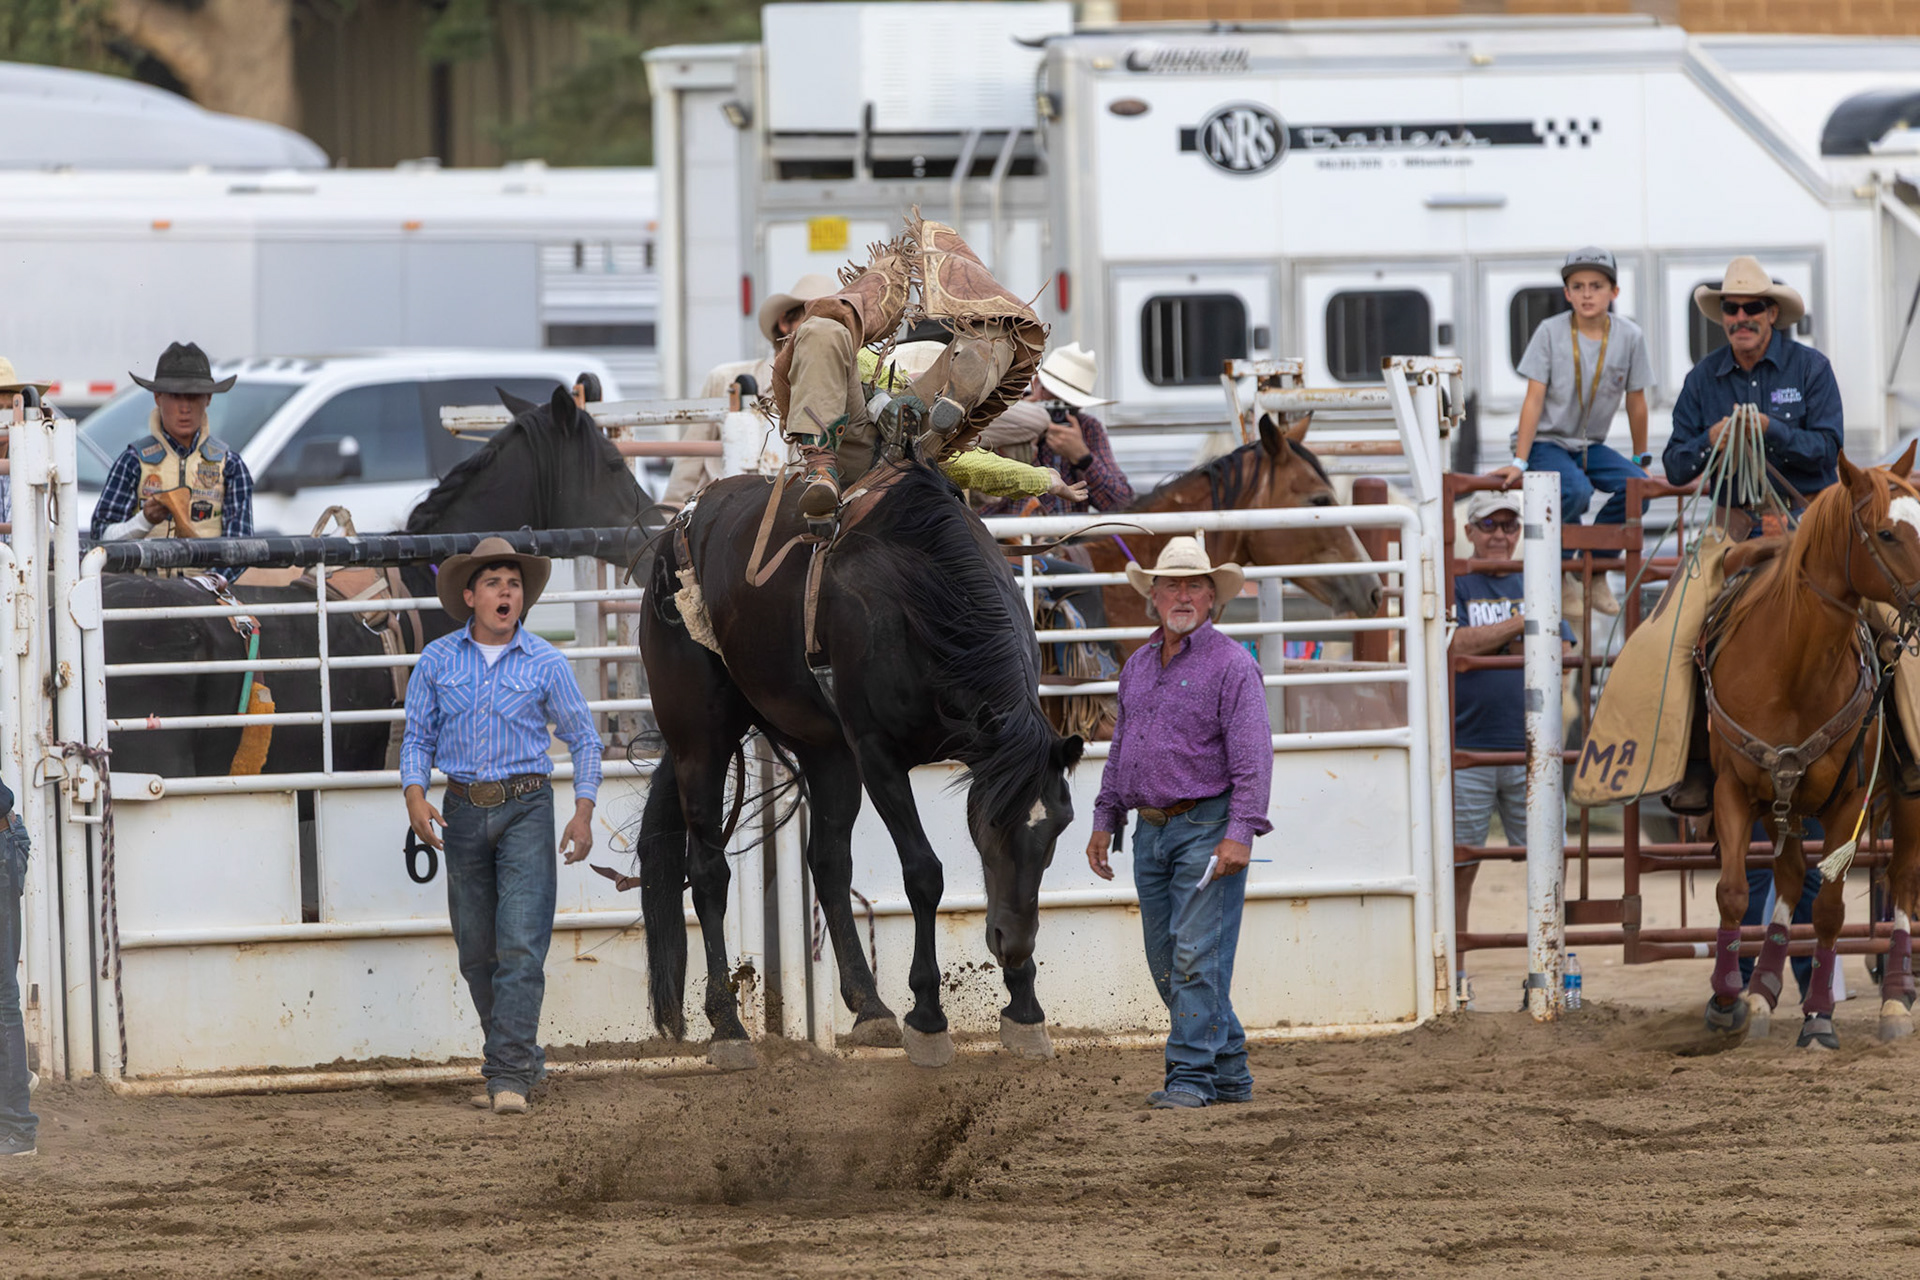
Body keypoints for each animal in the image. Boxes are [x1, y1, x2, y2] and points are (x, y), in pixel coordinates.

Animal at [637, 461, 1083, 1068]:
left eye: (1060, 826)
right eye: (991, 824)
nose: (1012, 947)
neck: (921, 598)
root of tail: (679, 527)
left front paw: (1025, 1010)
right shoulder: (878, 756)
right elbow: (923, 874)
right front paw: (928, 1018)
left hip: (826, 751)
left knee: (828, 863)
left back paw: (870, 1008)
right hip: (699, 740)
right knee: (708, 873)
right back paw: (729, 1029)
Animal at [1698, 446, 1920, 1048]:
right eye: (1887, 533)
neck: (1791, 666)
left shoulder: (1846, 803)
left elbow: (1828, 911)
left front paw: (1819, 1016)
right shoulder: (1736, 789)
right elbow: (1734, 891)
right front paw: (1727, 1001)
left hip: (1908, 793)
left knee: (1903, 881)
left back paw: (1897, 997)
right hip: (1787, 808)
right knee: (1791, 877)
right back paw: (1762, 991)